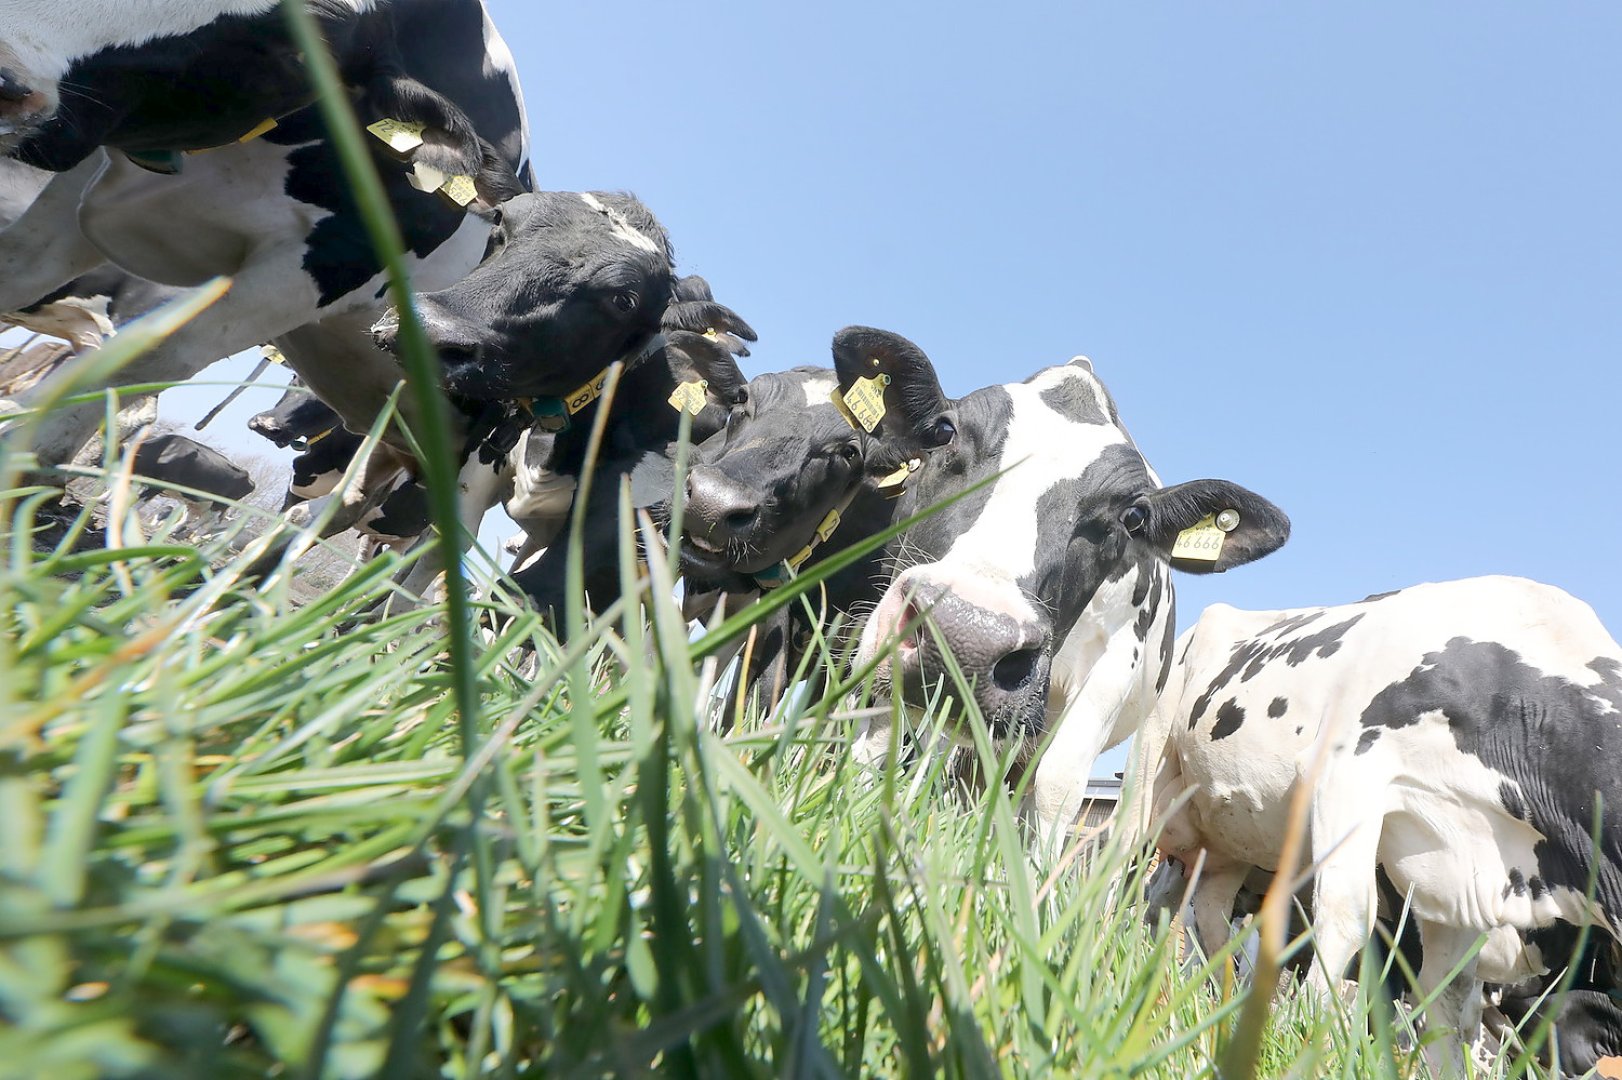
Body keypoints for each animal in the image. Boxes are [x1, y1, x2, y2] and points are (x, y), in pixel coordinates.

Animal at [1144, 576, 1622, 1074]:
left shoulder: (1461, 875)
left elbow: (1451, 997)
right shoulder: (1345, 771)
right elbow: (1347, 918)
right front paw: (1314, 1043)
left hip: (1226, 840)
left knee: (1209, 915)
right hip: (1150, 765)